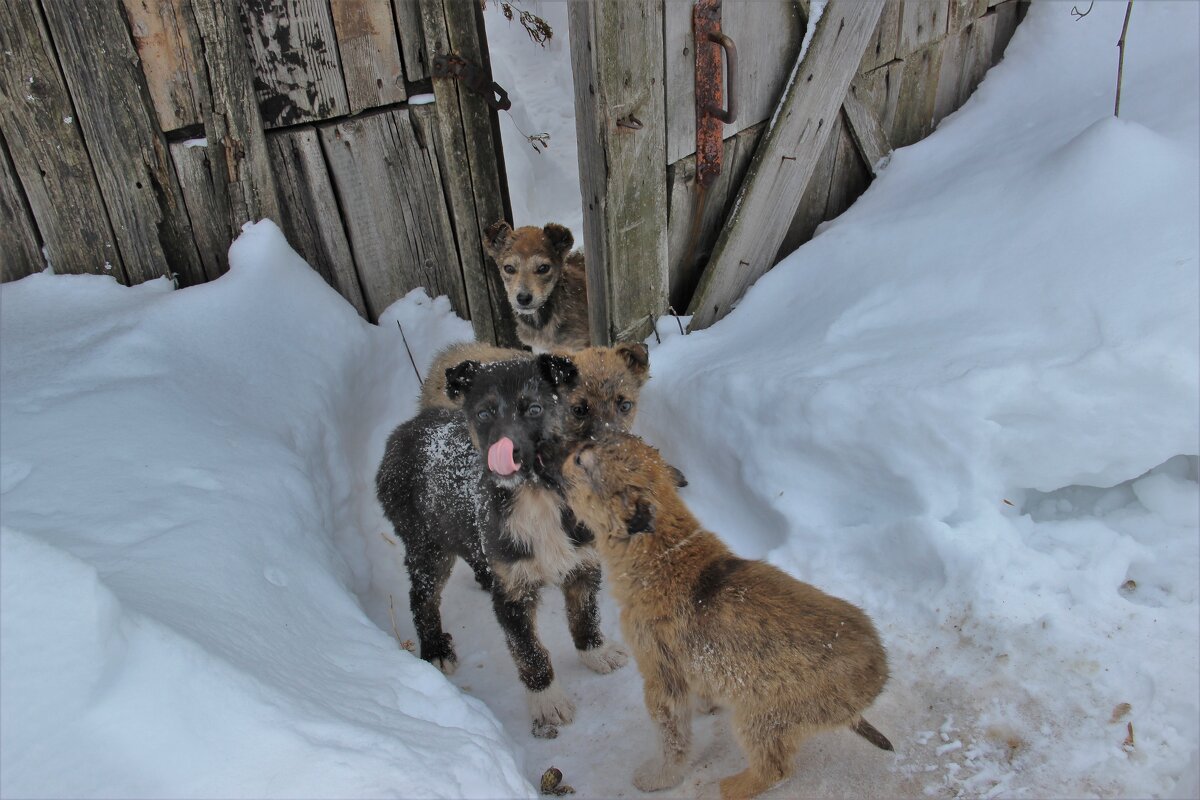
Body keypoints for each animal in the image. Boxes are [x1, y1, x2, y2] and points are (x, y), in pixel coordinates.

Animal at [376, 352, 628, 743]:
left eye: (535, 408)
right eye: (484, 413)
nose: (503, 454)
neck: (536, 495)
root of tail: (401, 432)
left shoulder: (582, 563)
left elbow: (585, 615)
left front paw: (595, 652)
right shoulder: (512, 595)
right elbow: (529, 651)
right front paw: (548, 702)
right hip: (426, 544)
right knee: (422, 596)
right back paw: (435, 648)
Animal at [556, 434, 888, 796]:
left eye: (581, 460)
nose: (553, 458)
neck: (662, 549)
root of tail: (879, 674)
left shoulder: (660, 673)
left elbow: (671, 736)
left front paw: (657, 778)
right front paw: (707, 704)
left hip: (760, 718)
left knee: (775, 770)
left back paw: (728, 788)